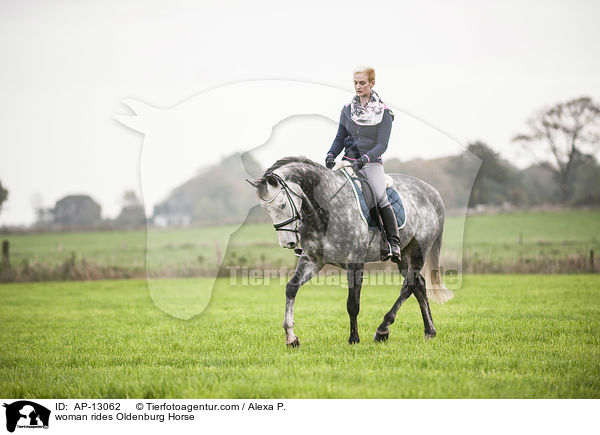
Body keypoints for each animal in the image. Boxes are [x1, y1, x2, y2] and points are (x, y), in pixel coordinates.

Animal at [247, 157, 450, 348]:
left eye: (282, 205)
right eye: (266, 209)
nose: (287, 243)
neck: (327, 208)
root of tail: (433, 193)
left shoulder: (355, 262)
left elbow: (353, 303)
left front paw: (354, 339)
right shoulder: (312, 259)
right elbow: (291, 287)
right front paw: (291, 337)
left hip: (417, 252)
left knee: (409, 285)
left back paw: (382, 330)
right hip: (403, 257)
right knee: (419, 285)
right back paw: (429, 331)